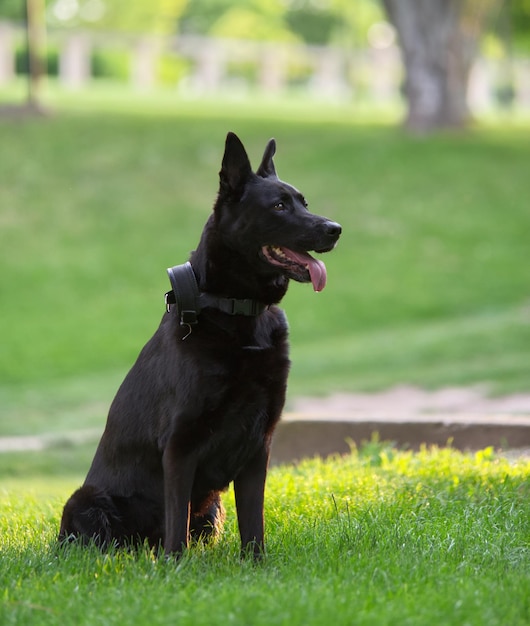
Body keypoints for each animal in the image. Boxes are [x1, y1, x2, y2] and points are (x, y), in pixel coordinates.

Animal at [57, 132, 338, 556]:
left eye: (304, 202)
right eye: (279, 205)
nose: (336, 229)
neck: (239, 311)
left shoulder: (259, 444)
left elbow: (253, 523)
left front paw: (256, 564)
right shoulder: (180, 445)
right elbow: (177, 523)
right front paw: (175, 566)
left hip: (213, 508)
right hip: (85, 501)